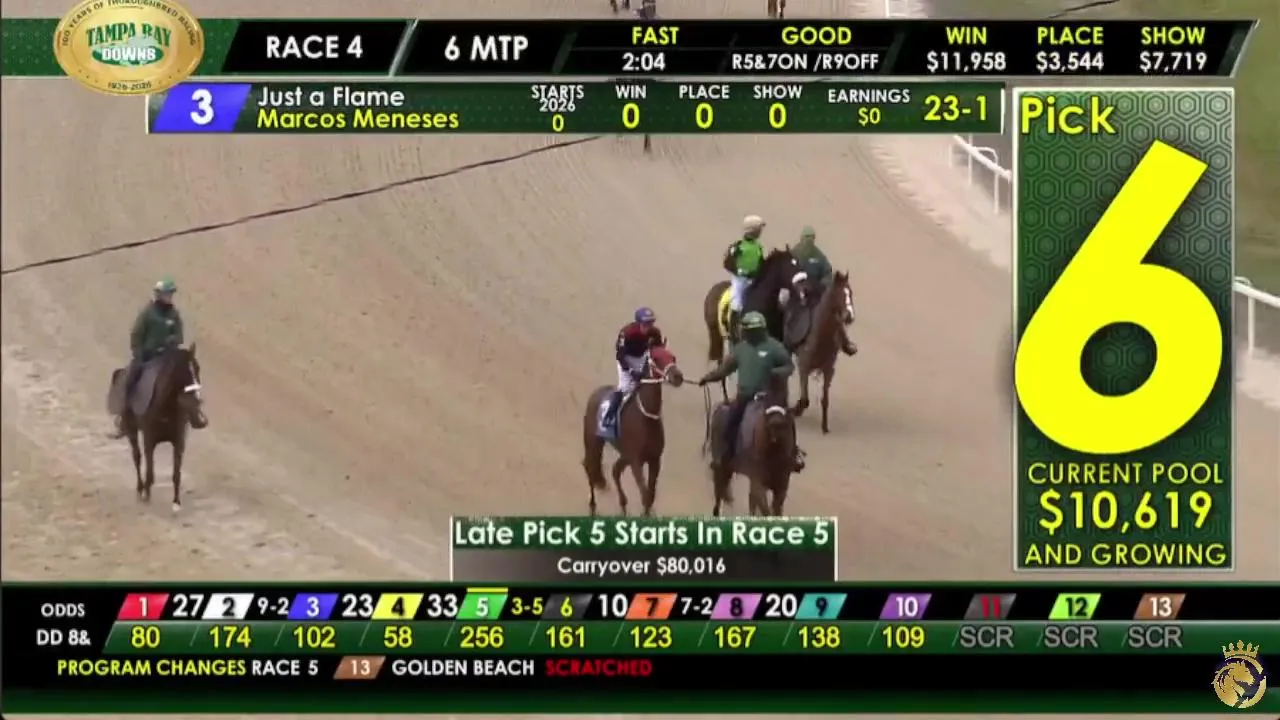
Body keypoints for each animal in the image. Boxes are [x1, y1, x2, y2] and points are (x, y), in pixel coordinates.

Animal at [107, 345, 207, 511]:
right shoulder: (149, 440)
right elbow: (150, 472)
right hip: (132, 431)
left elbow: (176, 474)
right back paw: (140, 489)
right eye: (184, 372)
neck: (166, 407)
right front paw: (146, 496)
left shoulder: (179, 441)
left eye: (197, 368)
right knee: (137, 458)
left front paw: (176, 502)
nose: (196, 402)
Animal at [582, 346, 684, 516]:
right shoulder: (636, 461)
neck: (647, 417)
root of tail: (595, 394)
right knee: (590, 466)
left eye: (673, 357)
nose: (678, 377)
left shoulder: (654, 459)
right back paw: (592, 504)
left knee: (615, 470)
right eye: (656, 358)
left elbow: (650, 495)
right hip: (594, 441)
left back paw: (623, 505)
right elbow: (645, 495)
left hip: (624, 454)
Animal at [703, 376, 796, 517]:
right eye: (768, 400)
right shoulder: (758, 483)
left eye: (784, 399)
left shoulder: (781, 487)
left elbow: (774, 509)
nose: (776, 424)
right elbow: (764, 509)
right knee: (719, 488)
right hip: (721, 465)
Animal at [792, 271, 856, 434]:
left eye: (850, 293)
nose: (850, 317)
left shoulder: (829, 369)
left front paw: (825, 426)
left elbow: (825, 400)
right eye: (839, 294)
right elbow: (805, 399)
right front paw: (796, 409)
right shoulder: (804, 365)